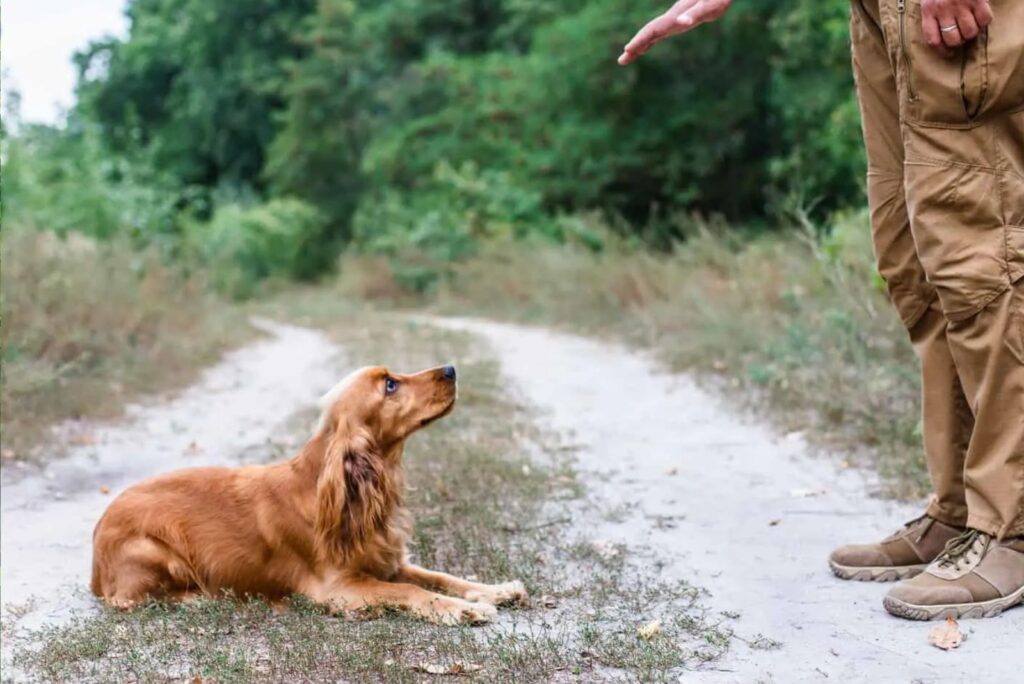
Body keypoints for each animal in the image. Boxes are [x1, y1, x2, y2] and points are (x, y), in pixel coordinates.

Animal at [90, 366, 528, 622]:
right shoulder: (339, 587)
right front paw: (466, 610)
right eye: (390, 385)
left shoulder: (386, 561)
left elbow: (438, 575)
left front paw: (495, 590)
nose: (451, 369)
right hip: (157, 552)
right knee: (132, 601)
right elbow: (410, 590)